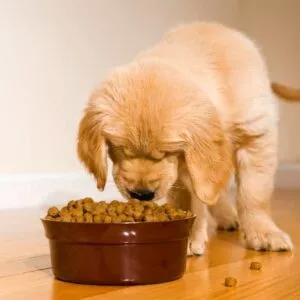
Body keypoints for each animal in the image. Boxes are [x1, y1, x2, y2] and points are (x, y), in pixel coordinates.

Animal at [76, 21, 294, 255]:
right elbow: (189, 197)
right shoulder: (185, 166)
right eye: (119, 148)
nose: (142, 194)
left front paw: (264, 233)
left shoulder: (256, 135)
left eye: (167, 152)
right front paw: (188, 233)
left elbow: (254, 193)